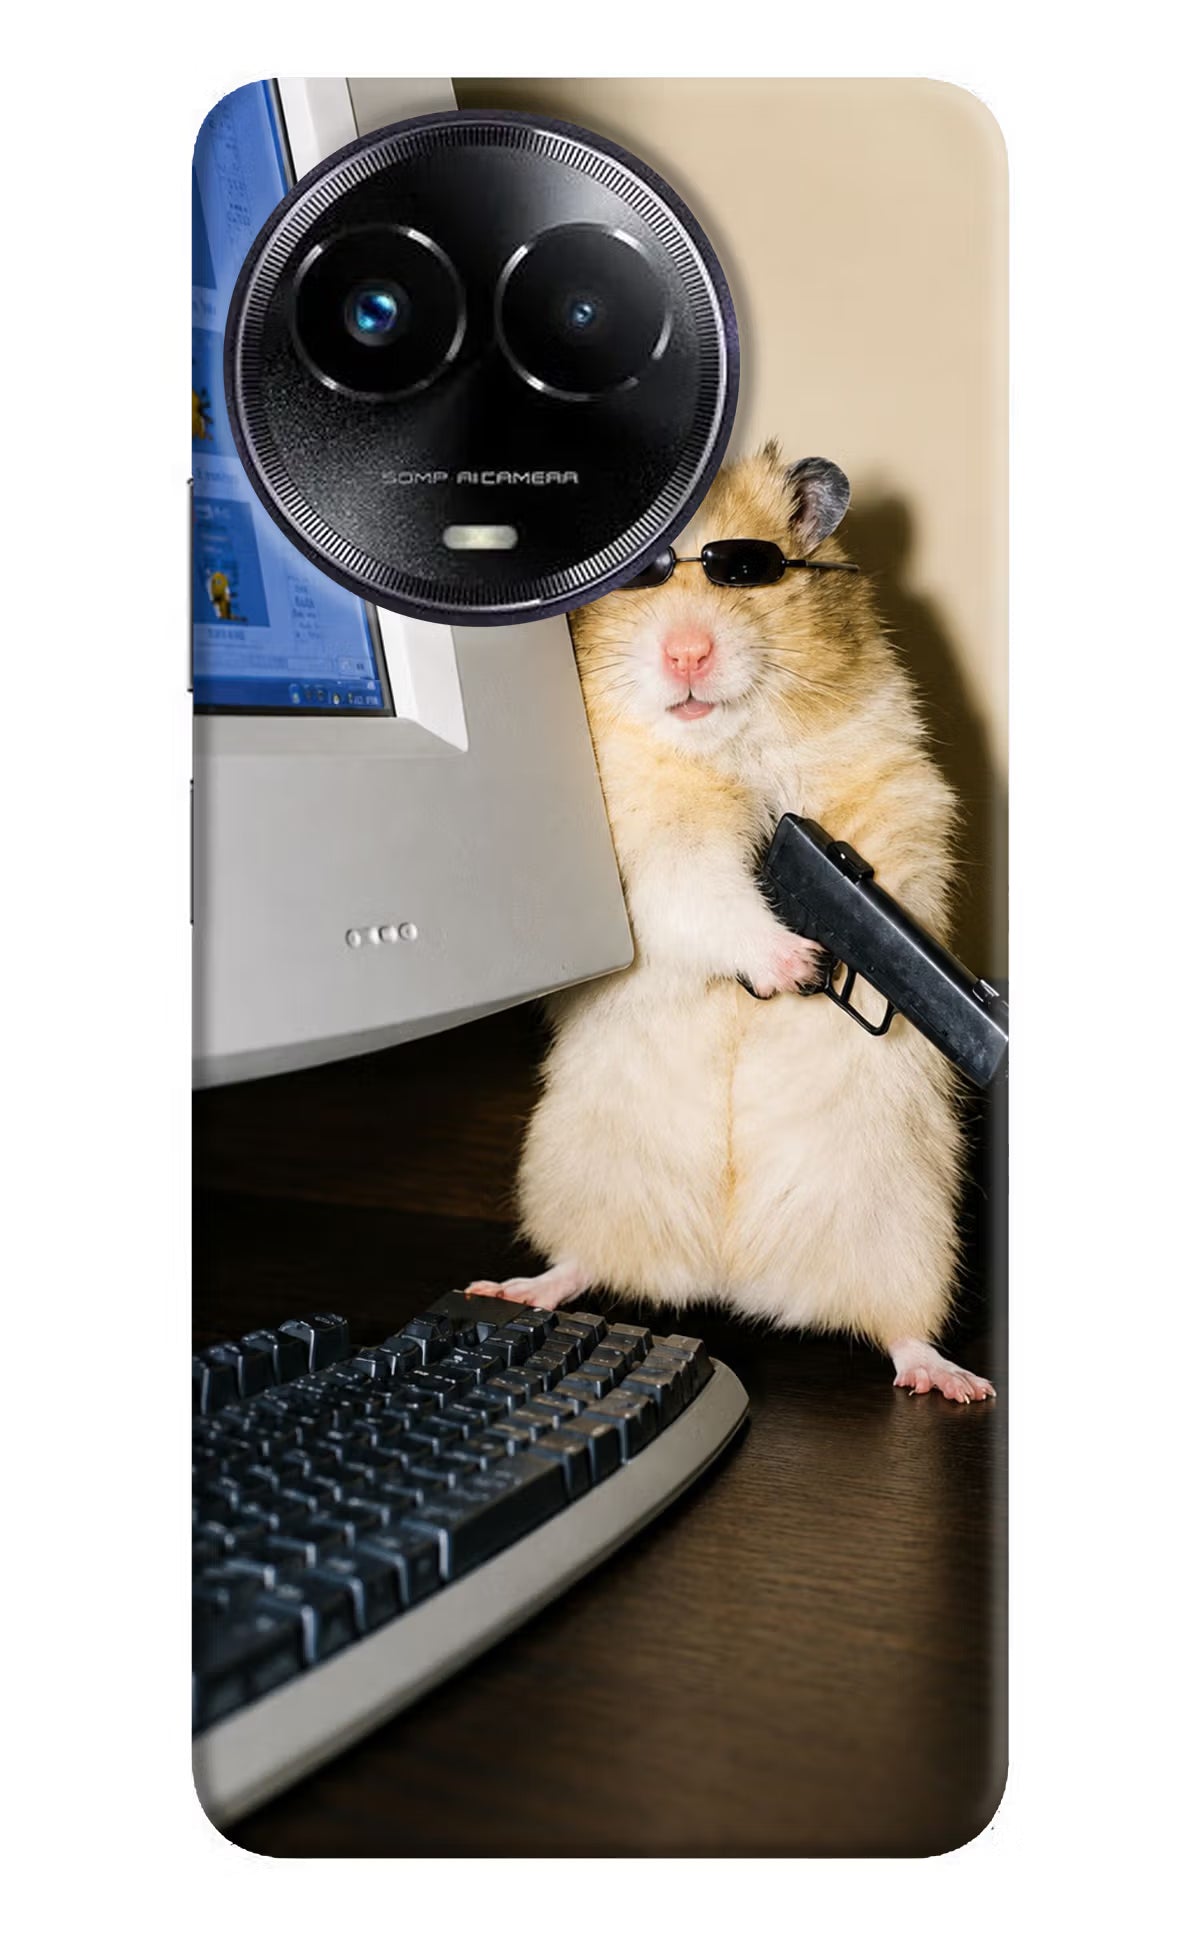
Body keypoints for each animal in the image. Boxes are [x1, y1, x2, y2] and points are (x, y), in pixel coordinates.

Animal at [468, 444, 994, 1403]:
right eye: (638, 579)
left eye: (747, 572)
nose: (686, 652)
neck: (728, 747)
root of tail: (730, 1276)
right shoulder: (649, 851)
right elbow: (707, 895)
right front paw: (797, 964)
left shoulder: (897, 791)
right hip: (579, 1177)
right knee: (582, 1263)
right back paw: (515, 1288)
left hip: (909, 1230)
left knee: (900, 1329)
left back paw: (953, 1381)